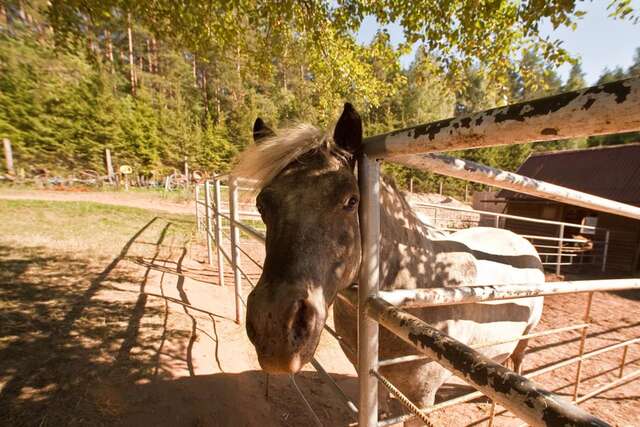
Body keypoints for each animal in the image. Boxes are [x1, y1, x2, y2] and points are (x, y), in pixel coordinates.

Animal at [235, 104, 544, 422]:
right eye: (262, 204)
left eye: (352, 200)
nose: (274, 328)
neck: (414, 289)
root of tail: (521, 241)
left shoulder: (421, 398)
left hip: (526, 338)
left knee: (517, 362)